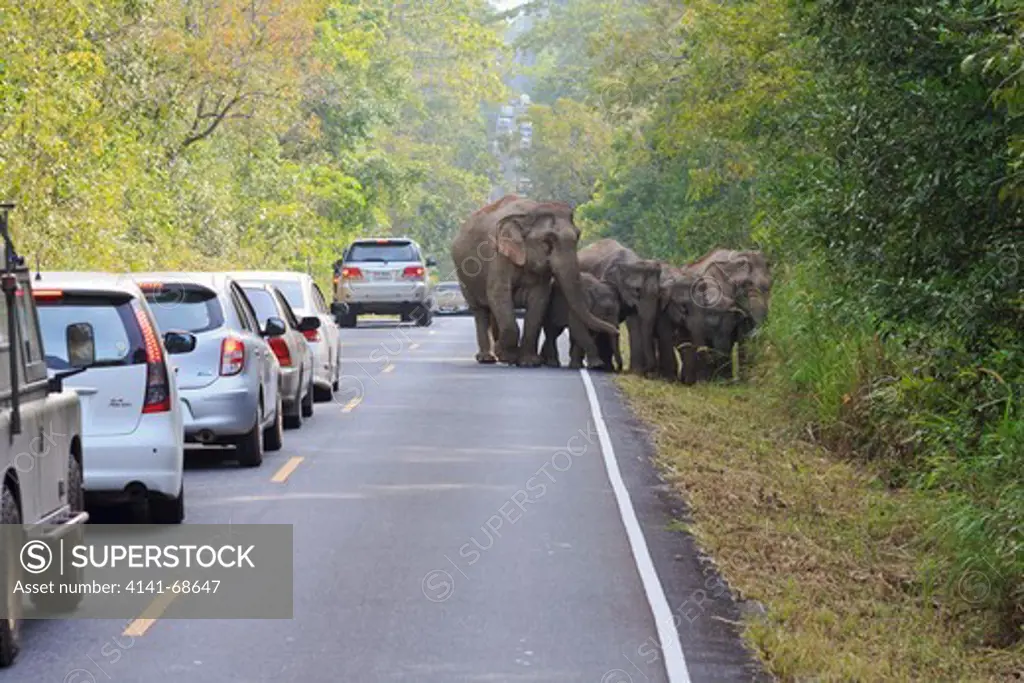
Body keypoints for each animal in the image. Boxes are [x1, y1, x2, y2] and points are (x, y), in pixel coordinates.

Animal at [452, 196, 618, 368]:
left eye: (578, 236)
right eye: (548, 240)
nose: (617, 330)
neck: (528, 213)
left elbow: (539, 299)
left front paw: (529, 362)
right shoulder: (498, 256)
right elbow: (498, 293)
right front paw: (507, 356)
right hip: (463, 276)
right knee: (480, 310)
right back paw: (487, 358)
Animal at [577, 239, 663, 374]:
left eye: (659, 293)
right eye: (637, 290)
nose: (621, 369)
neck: (628, 263)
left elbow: (634, 323)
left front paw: (636, 372)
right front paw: (608, 368)